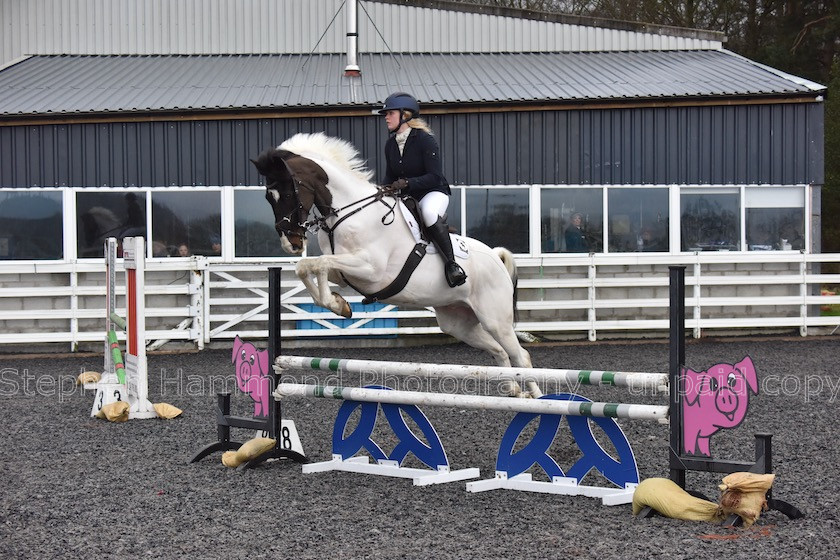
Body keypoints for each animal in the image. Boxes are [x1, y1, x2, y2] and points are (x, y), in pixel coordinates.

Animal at [251, 133, 540, 396]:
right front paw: (339, 304)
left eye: (288, 192)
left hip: (495, 319)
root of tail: (496, 257)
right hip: (459, 322)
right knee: (499, 351)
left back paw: (539, 399)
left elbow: (318, 263)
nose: (291, 244)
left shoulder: (371, 270)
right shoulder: (343, 272)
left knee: (521, 356)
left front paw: (337, 304)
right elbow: (309, 266)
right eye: (268, 197)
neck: (348, 213)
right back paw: (514, 390)